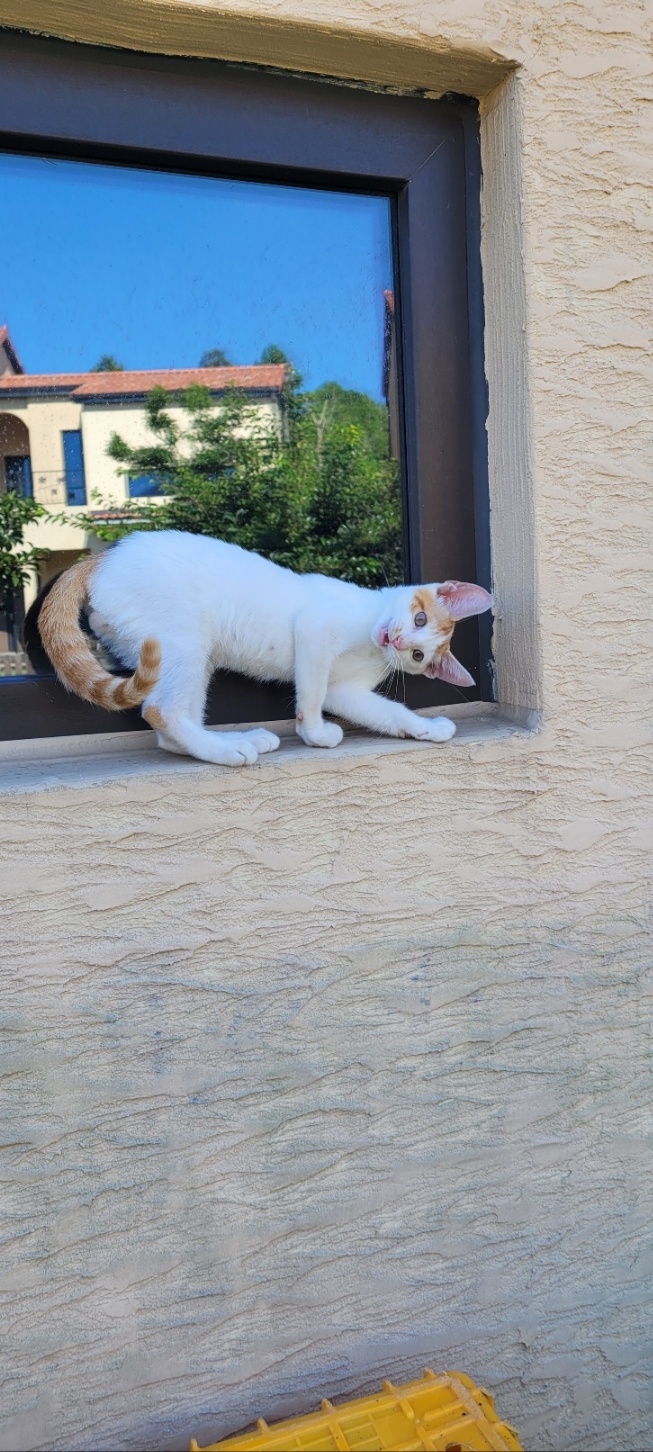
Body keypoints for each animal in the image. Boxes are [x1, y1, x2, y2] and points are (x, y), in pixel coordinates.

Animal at [38, 530, 493, 766]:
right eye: (419, 620)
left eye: (419, 656)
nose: (397, 640)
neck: (369, 639)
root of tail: (104, 558)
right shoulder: (314, 630)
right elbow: (311, 695)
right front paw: (313, 733)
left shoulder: (344, 690)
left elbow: (386, 711)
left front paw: (426, 728)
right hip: (183, 639)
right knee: (160, 710)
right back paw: (229, 750)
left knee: (168, 724)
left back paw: (229, 742)